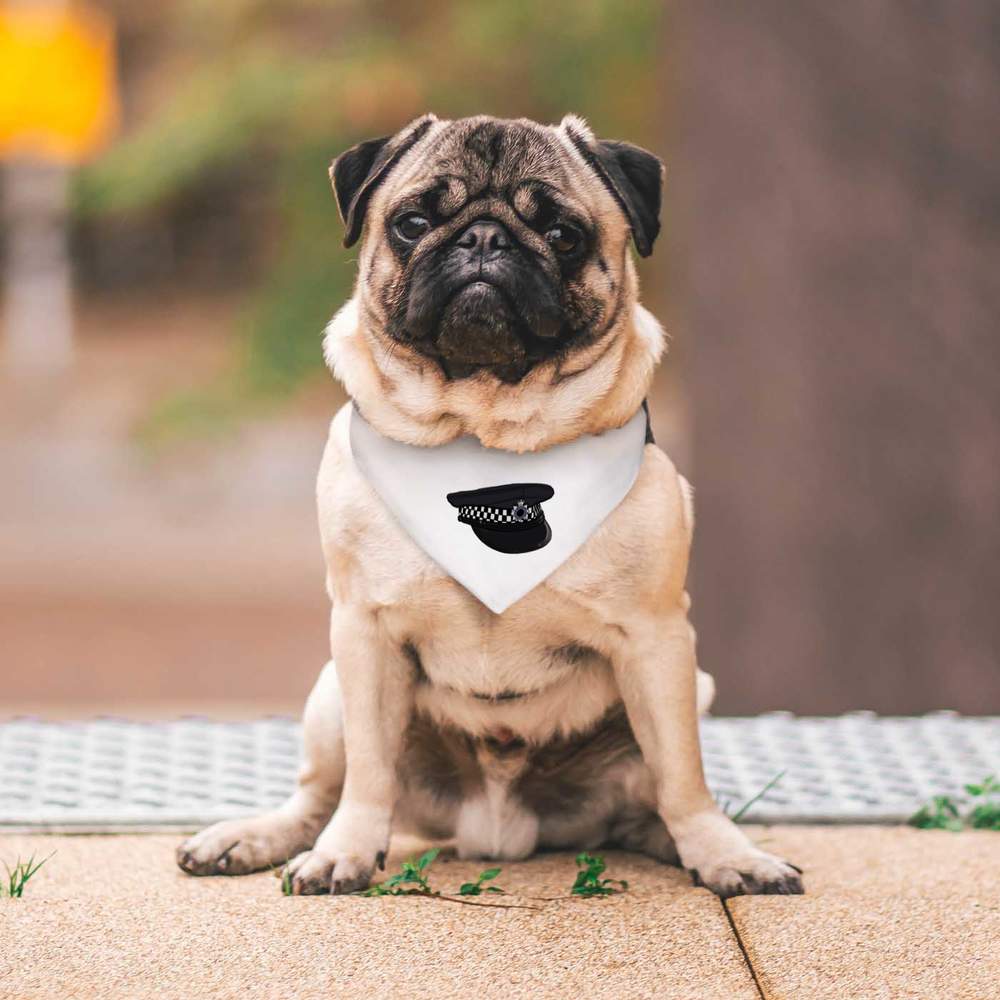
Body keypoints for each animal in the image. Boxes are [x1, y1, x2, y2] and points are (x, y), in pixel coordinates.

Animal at [176, 115, 800, 900]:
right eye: (412, 224)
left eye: (563, 234)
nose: (482, 239)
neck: (485, 435)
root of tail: (497, 829)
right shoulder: (362, 632)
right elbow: (369, 773)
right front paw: (346, 850)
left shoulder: (658, 640)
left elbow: (684, 776)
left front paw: (723, 853)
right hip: (327, 696)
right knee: (320, 793)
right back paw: (259, 838)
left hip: (691, 690)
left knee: (652, 799)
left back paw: (687, 841)